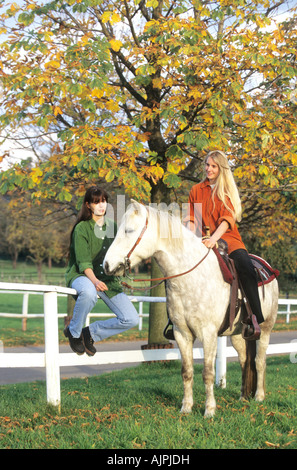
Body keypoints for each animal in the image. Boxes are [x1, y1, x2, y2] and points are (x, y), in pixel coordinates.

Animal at [102, 200, 278, 416]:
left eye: (129, 230)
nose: (107, 265)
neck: (191, 278)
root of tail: (265, 266)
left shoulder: (209, 334)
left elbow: (208, 372)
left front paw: (209, 410)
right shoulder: (182, 333)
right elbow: (186, 371)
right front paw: (186, 408)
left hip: (266, 329)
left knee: (260, 361)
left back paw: (259, 396)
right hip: (238, 334)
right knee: (245, 360)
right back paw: (243, 397)